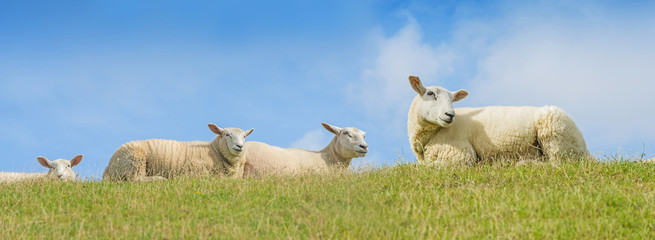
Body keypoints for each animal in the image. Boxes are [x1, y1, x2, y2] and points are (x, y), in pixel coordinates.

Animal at [102, 124, 254, 182]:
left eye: (244, 136)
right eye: (227, 134)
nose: (239, 146)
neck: (213, 150)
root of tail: (109, 167)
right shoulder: (193, 170)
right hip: (134, 161)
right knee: (134, 179)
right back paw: (160, 179)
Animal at [408, 75, 592, 165]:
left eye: (452, 100)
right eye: (430, 93)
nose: (450, 114)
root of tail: (585, 148)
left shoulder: (460, 154)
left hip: (554, 136)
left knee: (558, 163)